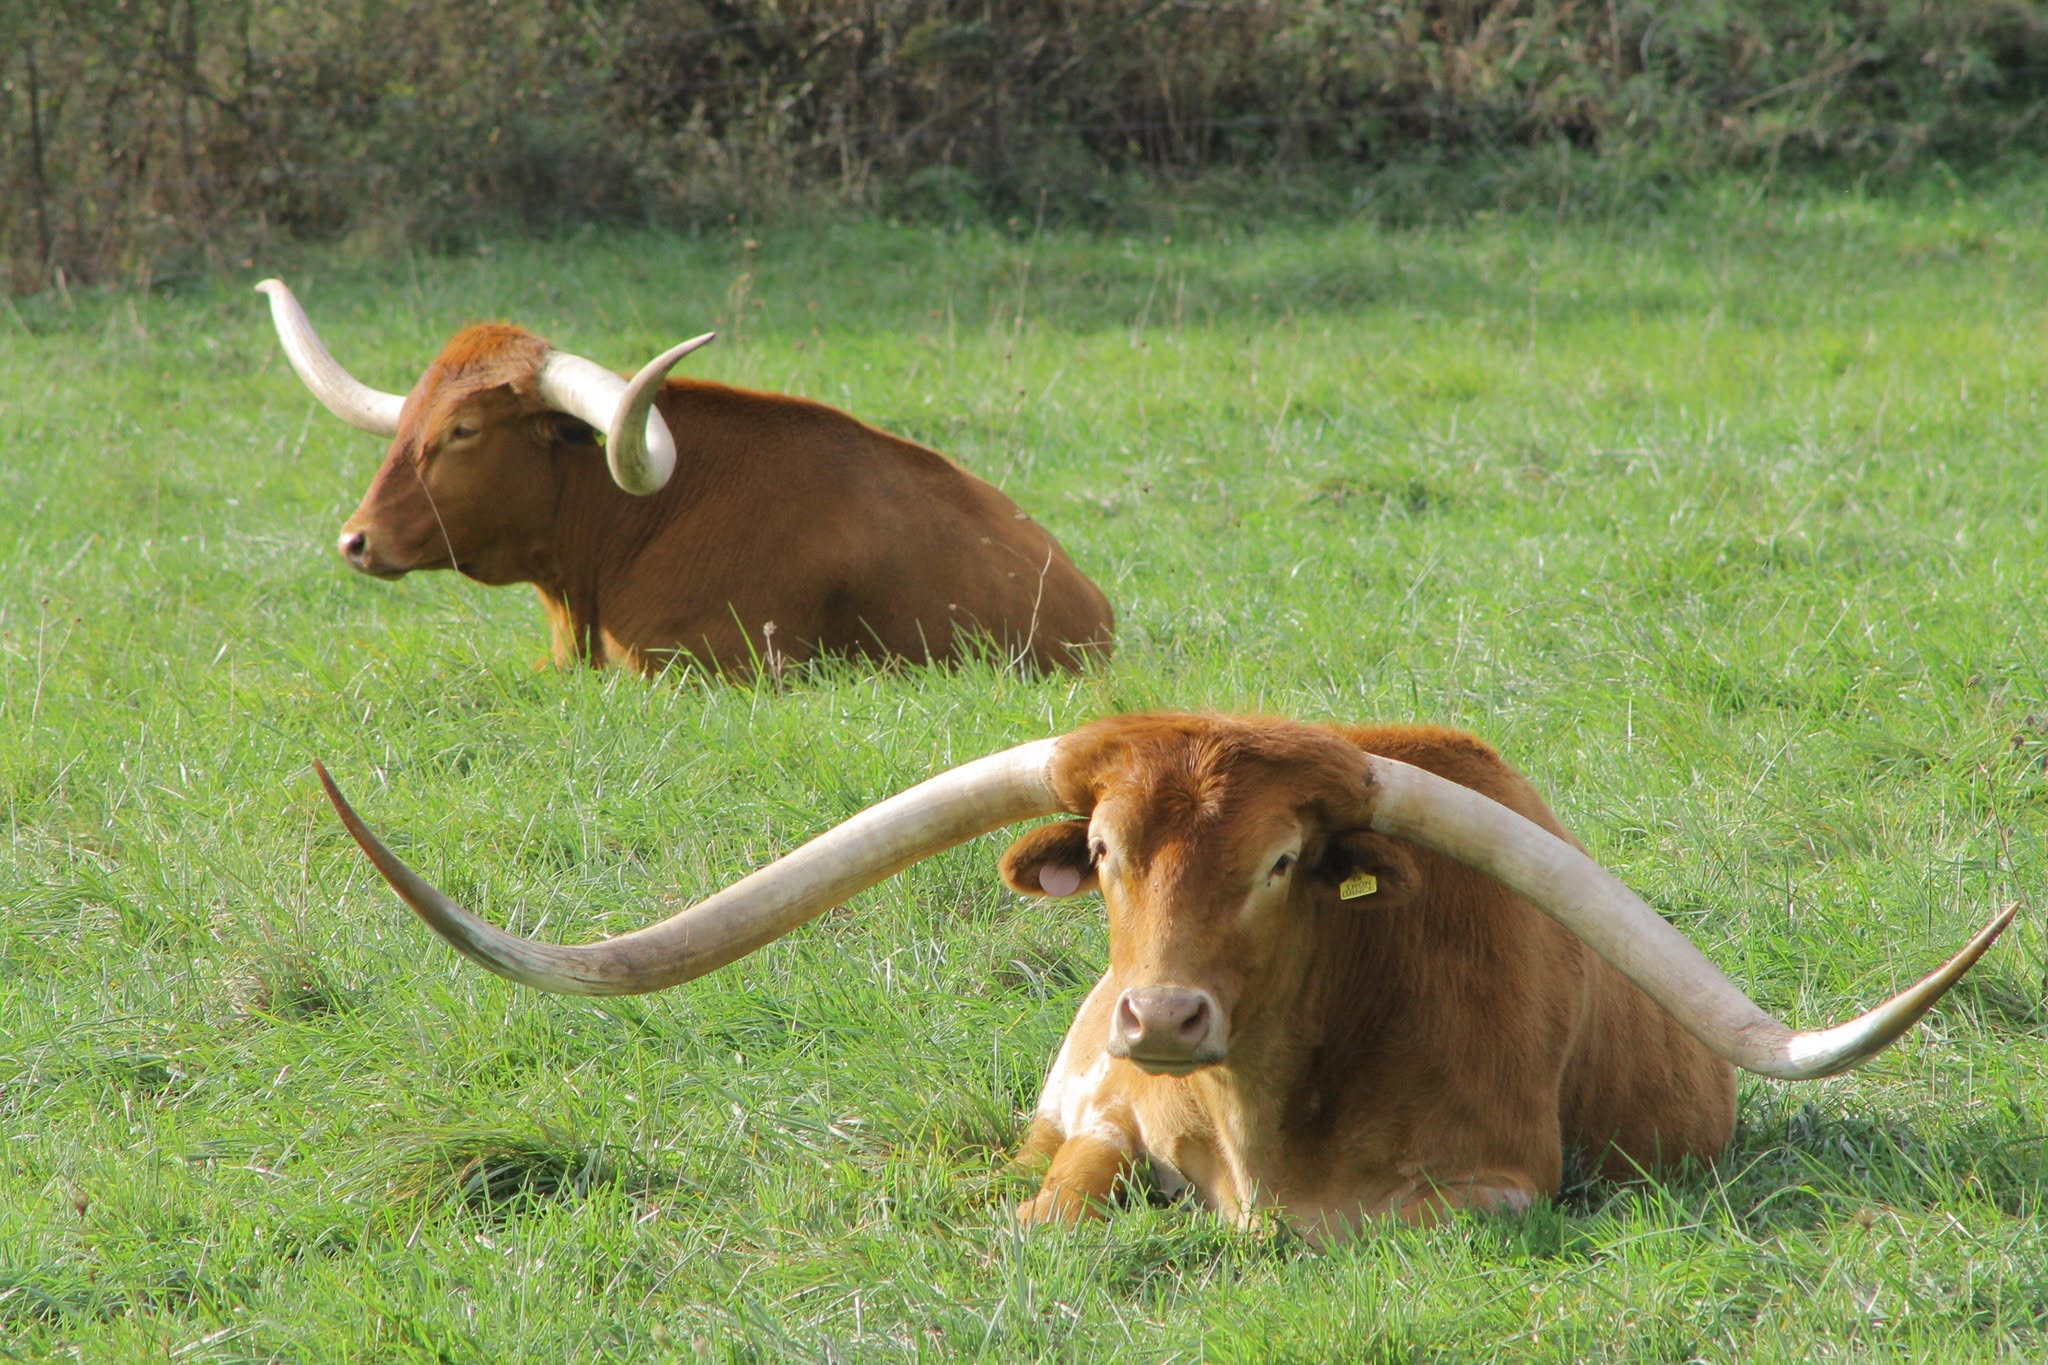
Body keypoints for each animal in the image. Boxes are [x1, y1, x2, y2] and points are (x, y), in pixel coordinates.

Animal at [311, 713, 2015, 1243]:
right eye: (1110, 851)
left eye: (1283, 861)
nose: (1161, 1013)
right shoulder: (1107, 1121)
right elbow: (1057, 1205)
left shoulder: (1496, 1187)